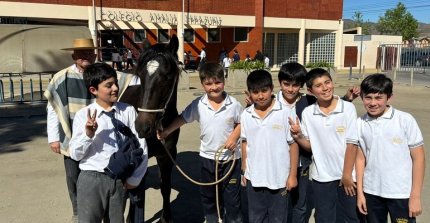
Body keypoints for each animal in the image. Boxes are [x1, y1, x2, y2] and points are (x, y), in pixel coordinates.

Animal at [120, 34, 181, 223]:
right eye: (140, 76)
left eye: (167, 76)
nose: (142, 126)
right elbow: (136, 190)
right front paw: (130, 218)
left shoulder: (167, 154)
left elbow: (165, 187)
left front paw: (166, 218)